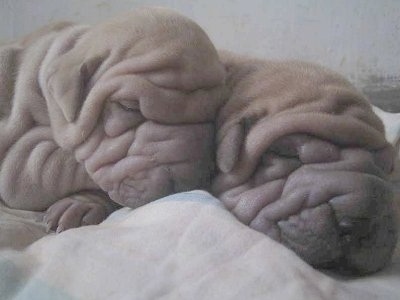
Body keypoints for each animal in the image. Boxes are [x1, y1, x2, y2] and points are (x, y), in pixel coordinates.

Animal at [0, 6, 225, 232]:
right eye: (128, 106)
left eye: (212, 114)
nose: (191, 181)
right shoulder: (22, 158)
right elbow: (57, 165)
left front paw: (82, 203)